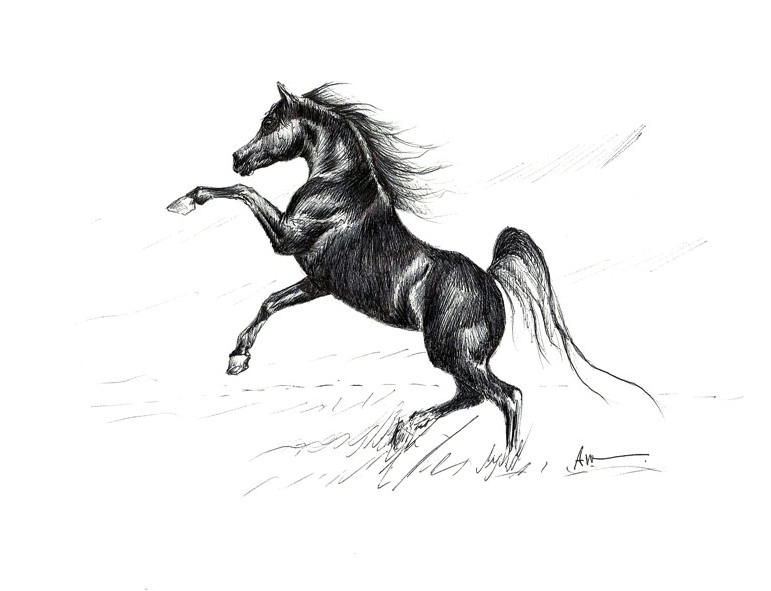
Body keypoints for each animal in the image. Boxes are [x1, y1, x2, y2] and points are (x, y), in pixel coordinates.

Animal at [167, 82, 659, 452]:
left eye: (270, 122)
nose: (238, 158)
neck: (339, 186)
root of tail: (491, 279)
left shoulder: (286, 238)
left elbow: (242, 194)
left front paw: (185, 201)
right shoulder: (319, 282)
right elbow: (271, 302)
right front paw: (238, 358)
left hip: (452, 353)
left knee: (506, 396)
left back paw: (499, 460)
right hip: (456, 358)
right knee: (474, 396)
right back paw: (409, 431)